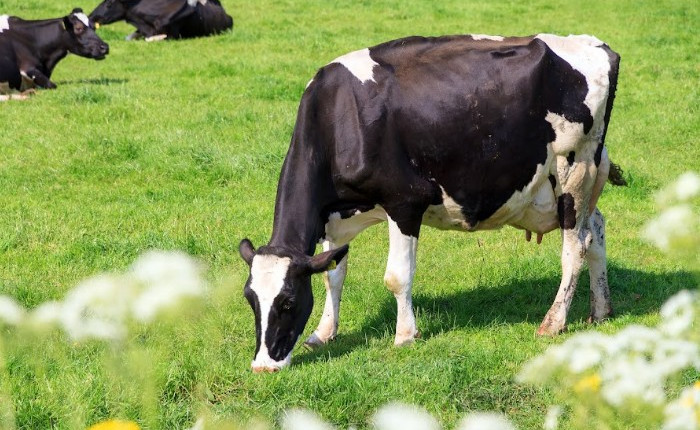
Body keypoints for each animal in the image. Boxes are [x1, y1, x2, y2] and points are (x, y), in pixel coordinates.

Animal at [238, 33, 628, 372]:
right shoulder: (336, 217)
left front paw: (405, 335)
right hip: (581, 179)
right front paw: (323, 333)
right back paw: (601, 309)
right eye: (250, 298)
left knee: (575, 246)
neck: (340, 116)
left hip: (574, 170)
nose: (263, 366)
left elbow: (397, 276)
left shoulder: (404, 202)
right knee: (597, 230)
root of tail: (594, 44)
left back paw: (553, 322)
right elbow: (332, 275)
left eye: (288, 301)